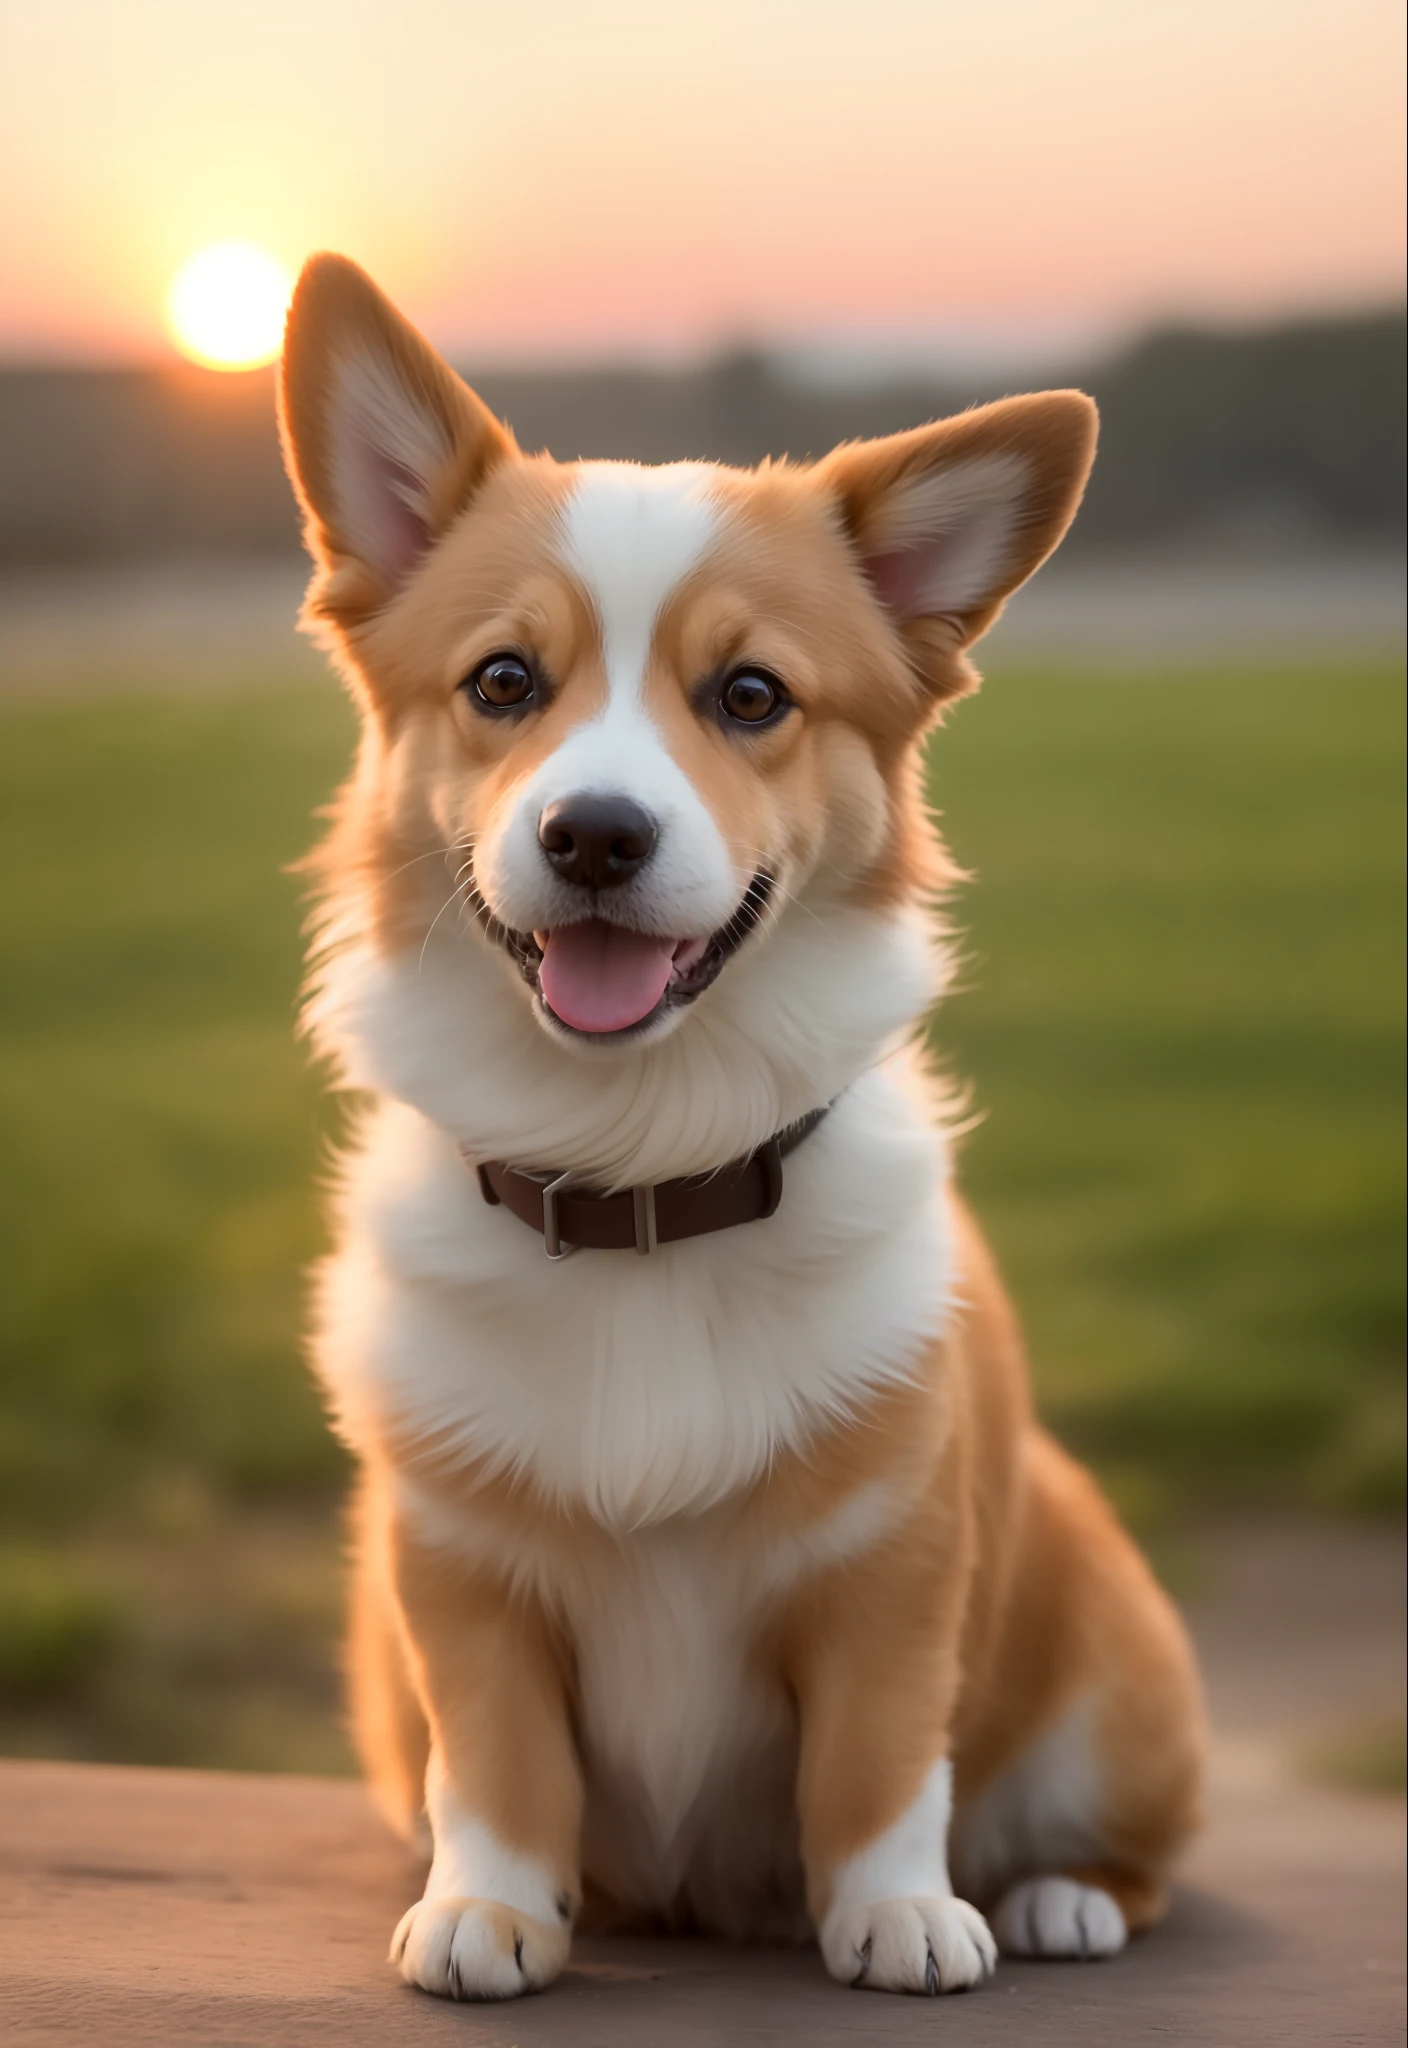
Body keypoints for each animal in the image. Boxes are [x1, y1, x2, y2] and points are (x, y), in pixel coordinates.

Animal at [280, 256, 1203, 1998]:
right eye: (504, 682)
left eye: (753, 694)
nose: (594, 834)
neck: (639, 1176)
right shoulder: (454, 1570)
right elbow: (495, 1760)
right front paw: (491, 1910)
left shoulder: (894, 1565)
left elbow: (881, 1766)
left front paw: (902, 1916)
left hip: (1118, 1672)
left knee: (1135, 1853)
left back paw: (1060, 1899)